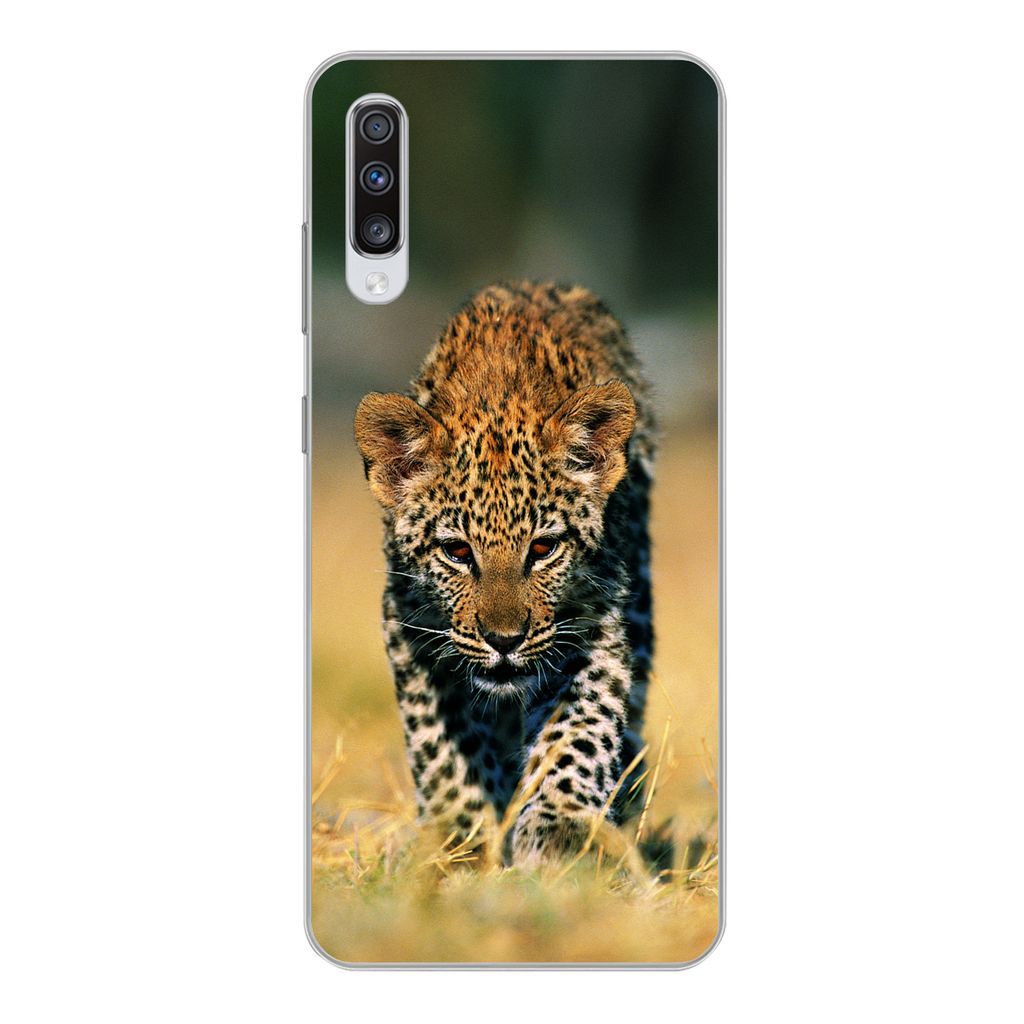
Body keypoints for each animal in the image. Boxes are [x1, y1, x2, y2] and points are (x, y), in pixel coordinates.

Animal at [354, 281, 656, 867]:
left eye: (543, 548)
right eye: (456, 551)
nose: (504, 640)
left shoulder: (592, 625)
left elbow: (576, 732)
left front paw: (562, 833)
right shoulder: (410, 627)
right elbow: (444, 746)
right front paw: (462, 837)